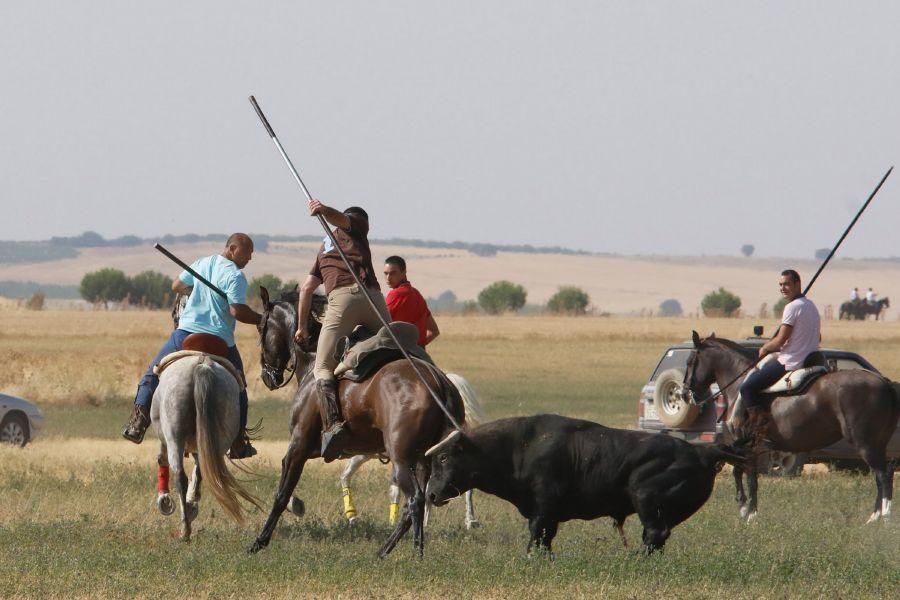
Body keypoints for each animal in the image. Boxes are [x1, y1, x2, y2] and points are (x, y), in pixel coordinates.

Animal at [152, 354, 260, 540]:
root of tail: (202, 365)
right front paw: (191, 502)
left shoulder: (165, 440)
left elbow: (163, 459)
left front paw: (165, 500)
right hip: (219, 439)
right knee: (200, 471)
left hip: (174, 437)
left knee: (180, 476)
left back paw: (185, 529)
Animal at [426, 414, 740, 556]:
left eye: (443, 457)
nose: (431, 493)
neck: (518, 447)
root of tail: (703, 452)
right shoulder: (548, 514)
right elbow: (545, 537)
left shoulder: (543, 506)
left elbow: (537, 532)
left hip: (646, 498)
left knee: (654, 533)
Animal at [684, 330, 896, 524]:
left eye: (690, 361)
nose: (685, 393)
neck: (738, 384)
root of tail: (884, 382)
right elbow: (744, 473)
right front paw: (747, 509)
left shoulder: (748, 444)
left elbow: (747, 475)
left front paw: (748, 512)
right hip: (877, 444)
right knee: (884, 475)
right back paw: (874, 517)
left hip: (865, 443)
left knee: (883, 475)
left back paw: (883, 516)